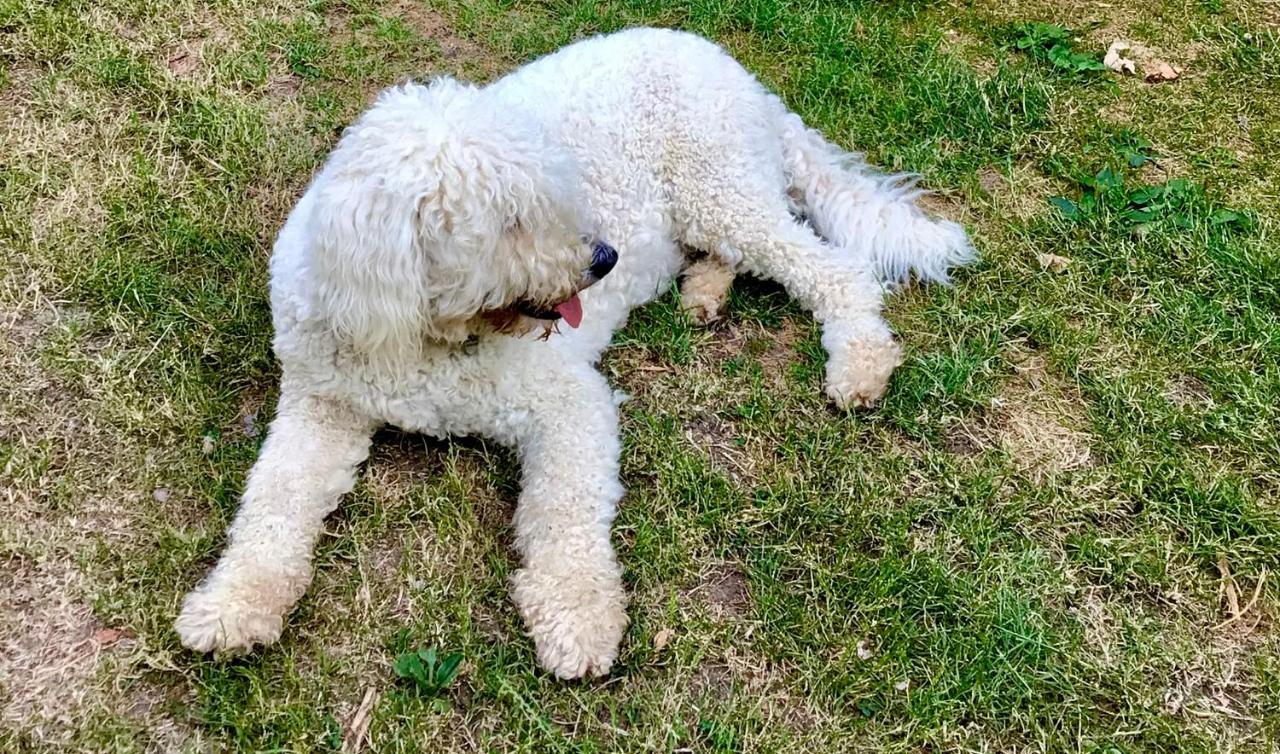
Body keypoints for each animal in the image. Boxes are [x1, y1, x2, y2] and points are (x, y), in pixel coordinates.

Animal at [172, 28, 967, 675]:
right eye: (512, 221)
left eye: (555, 191)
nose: (605, 258)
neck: (430, 335)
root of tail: (739, 73)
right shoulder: (320, 407)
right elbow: (273, 502)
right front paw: (232, 604)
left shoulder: (569, 404)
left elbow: (565, 517)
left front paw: (579, 619)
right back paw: (705, 292)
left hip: (722, 192)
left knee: (835, 271)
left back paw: (859, 362)